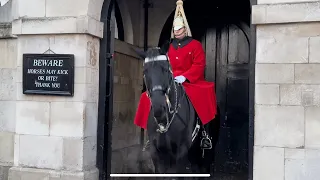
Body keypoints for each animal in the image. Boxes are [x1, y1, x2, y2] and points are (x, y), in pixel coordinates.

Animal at [135, 46, 220, 179]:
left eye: (166, 69)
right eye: (145, 71)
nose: (159, 108)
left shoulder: (181, 152)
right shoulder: (157, 153)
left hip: (206, 153)